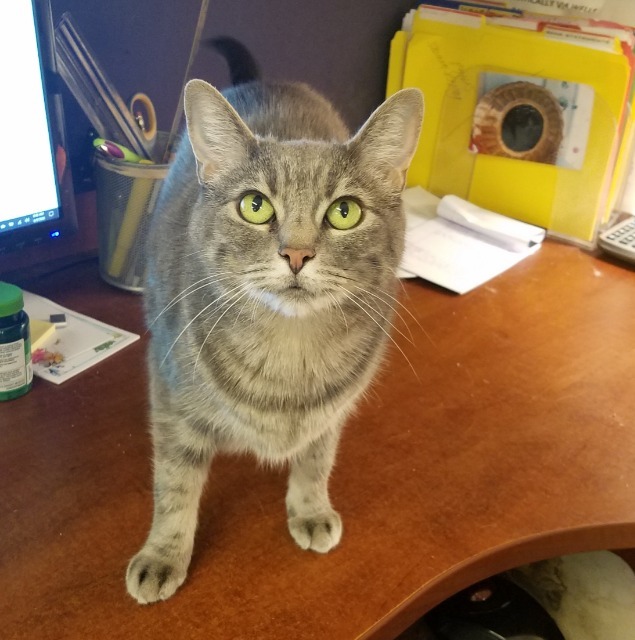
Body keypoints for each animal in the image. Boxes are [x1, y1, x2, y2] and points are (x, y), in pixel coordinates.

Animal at [125, 72, 422, 604]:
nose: (297, 255)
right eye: (255, 205)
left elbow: (316, 460)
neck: (290, 351)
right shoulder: (171, 400)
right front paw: (163, 553)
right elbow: (175, 483)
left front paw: (310, 508)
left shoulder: (331, 413)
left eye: (345, 212)